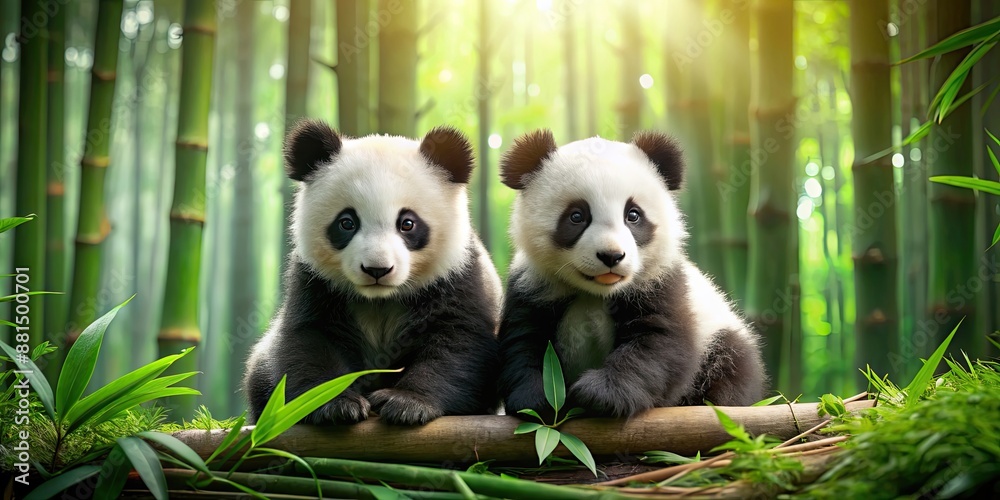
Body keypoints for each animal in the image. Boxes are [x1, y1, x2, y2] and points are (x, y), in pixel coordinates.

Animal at [243, 120, 502, 426]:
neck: (381, 299)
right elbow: (311, 338)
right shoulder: (314, 280)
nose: (377, 269)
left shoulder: (458, 275)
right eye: (347, 222)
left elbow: (458, 342)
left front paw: (406, 403)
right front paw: (336, 404)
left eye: (407, 223)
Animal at [496, 129, 766, 419]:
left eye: (633, 215)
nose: (611, 256)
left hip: (719, 335)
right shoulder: (534, 284)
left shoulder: (661, 281)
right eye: (577, 216)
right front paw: (541, 398)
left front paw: (601, 394)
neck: (597, 292)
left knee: (730, 368)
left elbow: (657, 343)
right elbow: (524, 341)